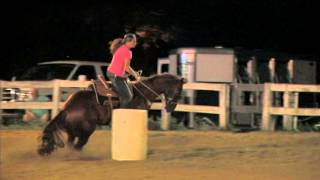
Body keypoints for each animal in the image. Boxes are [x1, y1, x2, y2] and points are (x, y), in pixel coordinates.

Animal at [38, 73, 185, 155]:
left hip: (73, 131)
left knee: (72, 144)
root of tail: (68, 107)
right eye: (178, 91)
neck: (142, 93)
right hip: (86, 130)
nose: (171, 107)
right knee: (78, 145)